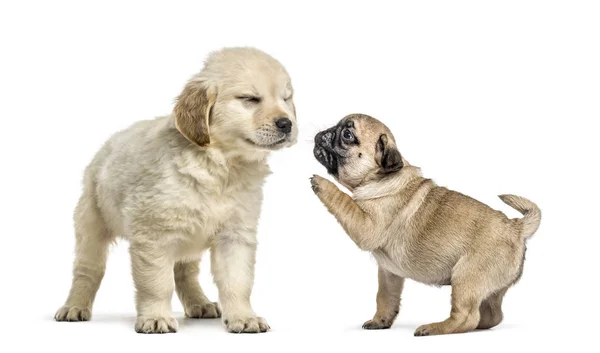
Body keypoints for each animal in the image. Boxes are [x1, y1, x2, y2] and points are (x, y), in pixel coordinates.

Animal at [54, 46, 298, 332]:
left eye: (286, 98)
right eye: (249, 98)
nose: (287, 123)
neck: (221, 166)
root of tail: (107, 146)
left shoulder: (235, 235)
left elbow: (238, 282)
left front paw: (244, 317)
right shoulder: (153, 236)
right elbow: (157, 284)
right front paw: (156, 317)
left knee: (185, 272)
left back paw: (199, 303)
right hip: (91, 224)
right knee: (87, 270)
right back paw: (74, 307)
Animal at [312, 113, 540, 336]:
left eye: (347, 135)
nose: (323, 133)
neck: (377, 179)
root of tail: (515, 227)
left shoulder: (365, 226)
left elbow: (344, 200)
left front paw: (323, 183)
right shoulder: (389, 273)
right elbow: (385, 298)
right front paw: (380, 321)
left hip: (466, 278)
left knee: (466, 317)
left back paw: (435, 328)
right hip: (490, 288)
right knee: (492, 315)